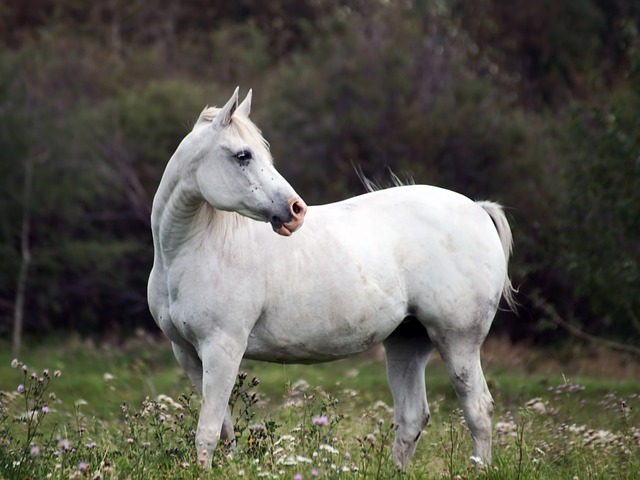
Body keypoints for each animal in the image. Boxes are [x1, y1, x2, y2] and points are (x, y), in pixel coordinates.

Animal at [148, 87, 516, 469]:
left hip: (458, 341)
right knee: (413, 417)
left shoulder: (223, 348)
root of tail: (477, 209)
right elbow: (223, 430)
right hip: (407, 341)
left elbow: (207, 431)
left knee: (478, 410)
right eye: (242, 155)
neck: (191, 251)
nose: (296, 210)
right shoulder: (189, 354)